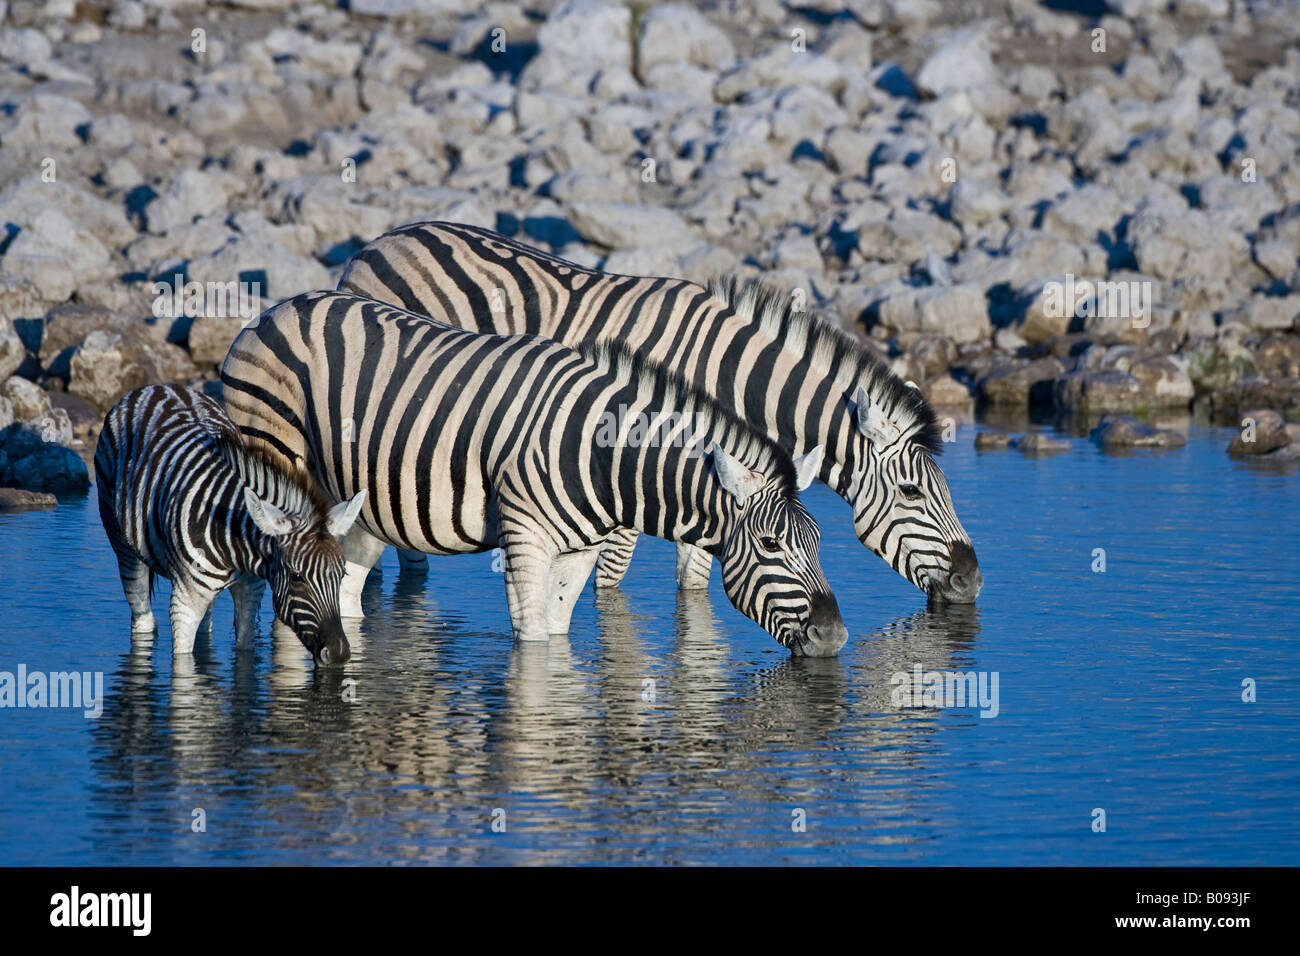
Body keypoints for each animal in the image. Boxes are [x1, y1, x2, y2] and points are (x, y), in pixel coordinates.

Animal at [94, 385, 366, 660]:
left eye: (342, 575)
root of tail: (157, 387)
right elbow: (182, 661)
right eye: (297, 577)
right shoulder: (185, 600)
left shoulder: (251, 590)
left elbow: (244, 655)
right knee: (143, 618)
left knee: (205, 627)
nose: (338, 653)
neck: (237, 546)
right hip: (124, 545)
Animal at [220, 287, 852, 655]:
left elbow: (553, 633)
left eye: (820, 540)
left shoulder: (579, 551)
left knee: (345, 590)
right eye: (770, 545)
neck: (600, 455)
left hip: (357, 505)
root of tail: (275, 309)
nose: (835, 636)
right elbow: (529, 641)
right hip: (271, 464)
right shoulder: (524, 539)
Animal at [340, 221, 977, 600]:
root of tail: (382, 239)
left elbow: (694, 587)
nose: (972, 581)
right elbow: (611, 582)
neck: (723, 375)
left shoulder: (717, 480)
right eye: (913, 494)